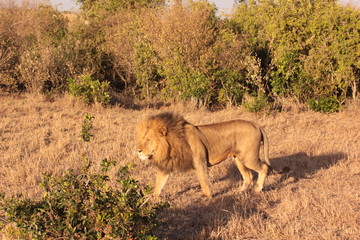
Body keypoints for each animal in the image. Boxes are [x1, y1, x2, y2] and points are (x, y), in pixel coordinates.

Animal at [136, 111, 274, 198]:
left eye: (148, 140)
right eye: (141, 139)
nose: (138, 150)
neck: (171, 145)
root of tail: (255, 124)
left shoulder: (200, 161)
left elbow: (203, 180)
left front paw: (207, 197)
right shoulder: (166, 166)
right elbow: (159, 184)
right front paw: (151, 200)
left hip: (248, 158)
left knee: (264, 168)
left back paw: (257, 189)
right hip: (239, 159)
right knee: (248, 176)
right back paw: (240, 191)